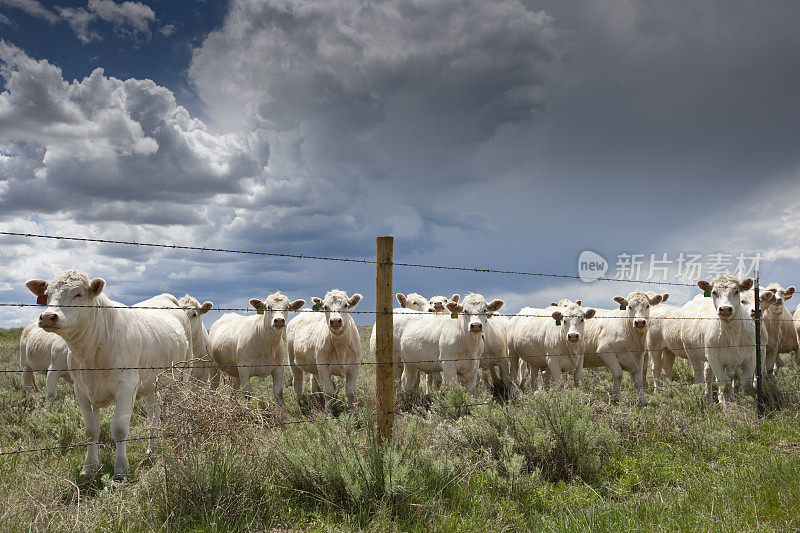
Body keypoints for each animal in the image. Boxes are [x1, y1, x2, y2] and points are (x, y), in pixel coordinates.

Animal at [27, 270, 192, 478]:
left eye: (78, 294)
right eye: (47, 294)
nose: (48, 316)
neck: (90, 353)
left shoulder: (126, 388)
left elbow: (119, 429)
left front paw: (120, 469)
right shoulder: (81, 390)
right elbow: (91, 430)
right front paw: (89, 468)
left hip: (181, 377)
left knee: (181, 409)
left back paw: (182, 443)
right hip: (151, 384)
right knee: (154, 415)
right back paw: (152, 449)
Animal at [680, 274, 756, 404]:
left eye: (736, 291)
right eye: (714, 292)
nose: (725, 308)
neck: (732, 334)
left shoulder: (750, 357)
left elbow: (745, 384)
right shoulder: (714, 358)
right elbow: (725, 384)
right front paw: (727, 406)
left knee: (711, 374)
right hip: (692, 354)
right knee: (701, 376)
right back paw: (706, 399)